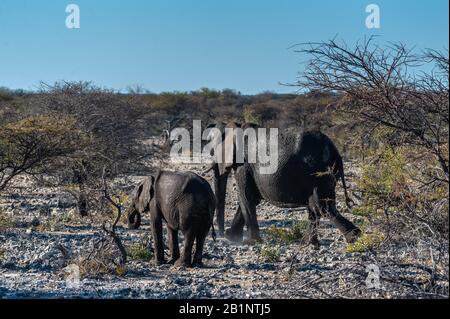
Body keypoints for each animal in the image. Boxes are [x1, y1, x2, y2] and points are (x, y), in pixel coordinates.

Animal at [207, 122, 362, 248]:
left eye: (214, 151)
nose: (220, 234)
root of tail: (336, 153)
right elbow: (252, 198)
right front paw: (232, 237)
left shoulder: (244, 165)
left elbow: (245, 197)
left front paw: (248, 242)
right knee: (315, 207)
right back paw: (308, 243)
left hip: (318, 173)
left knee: (322, 207)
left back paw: (353, 238)